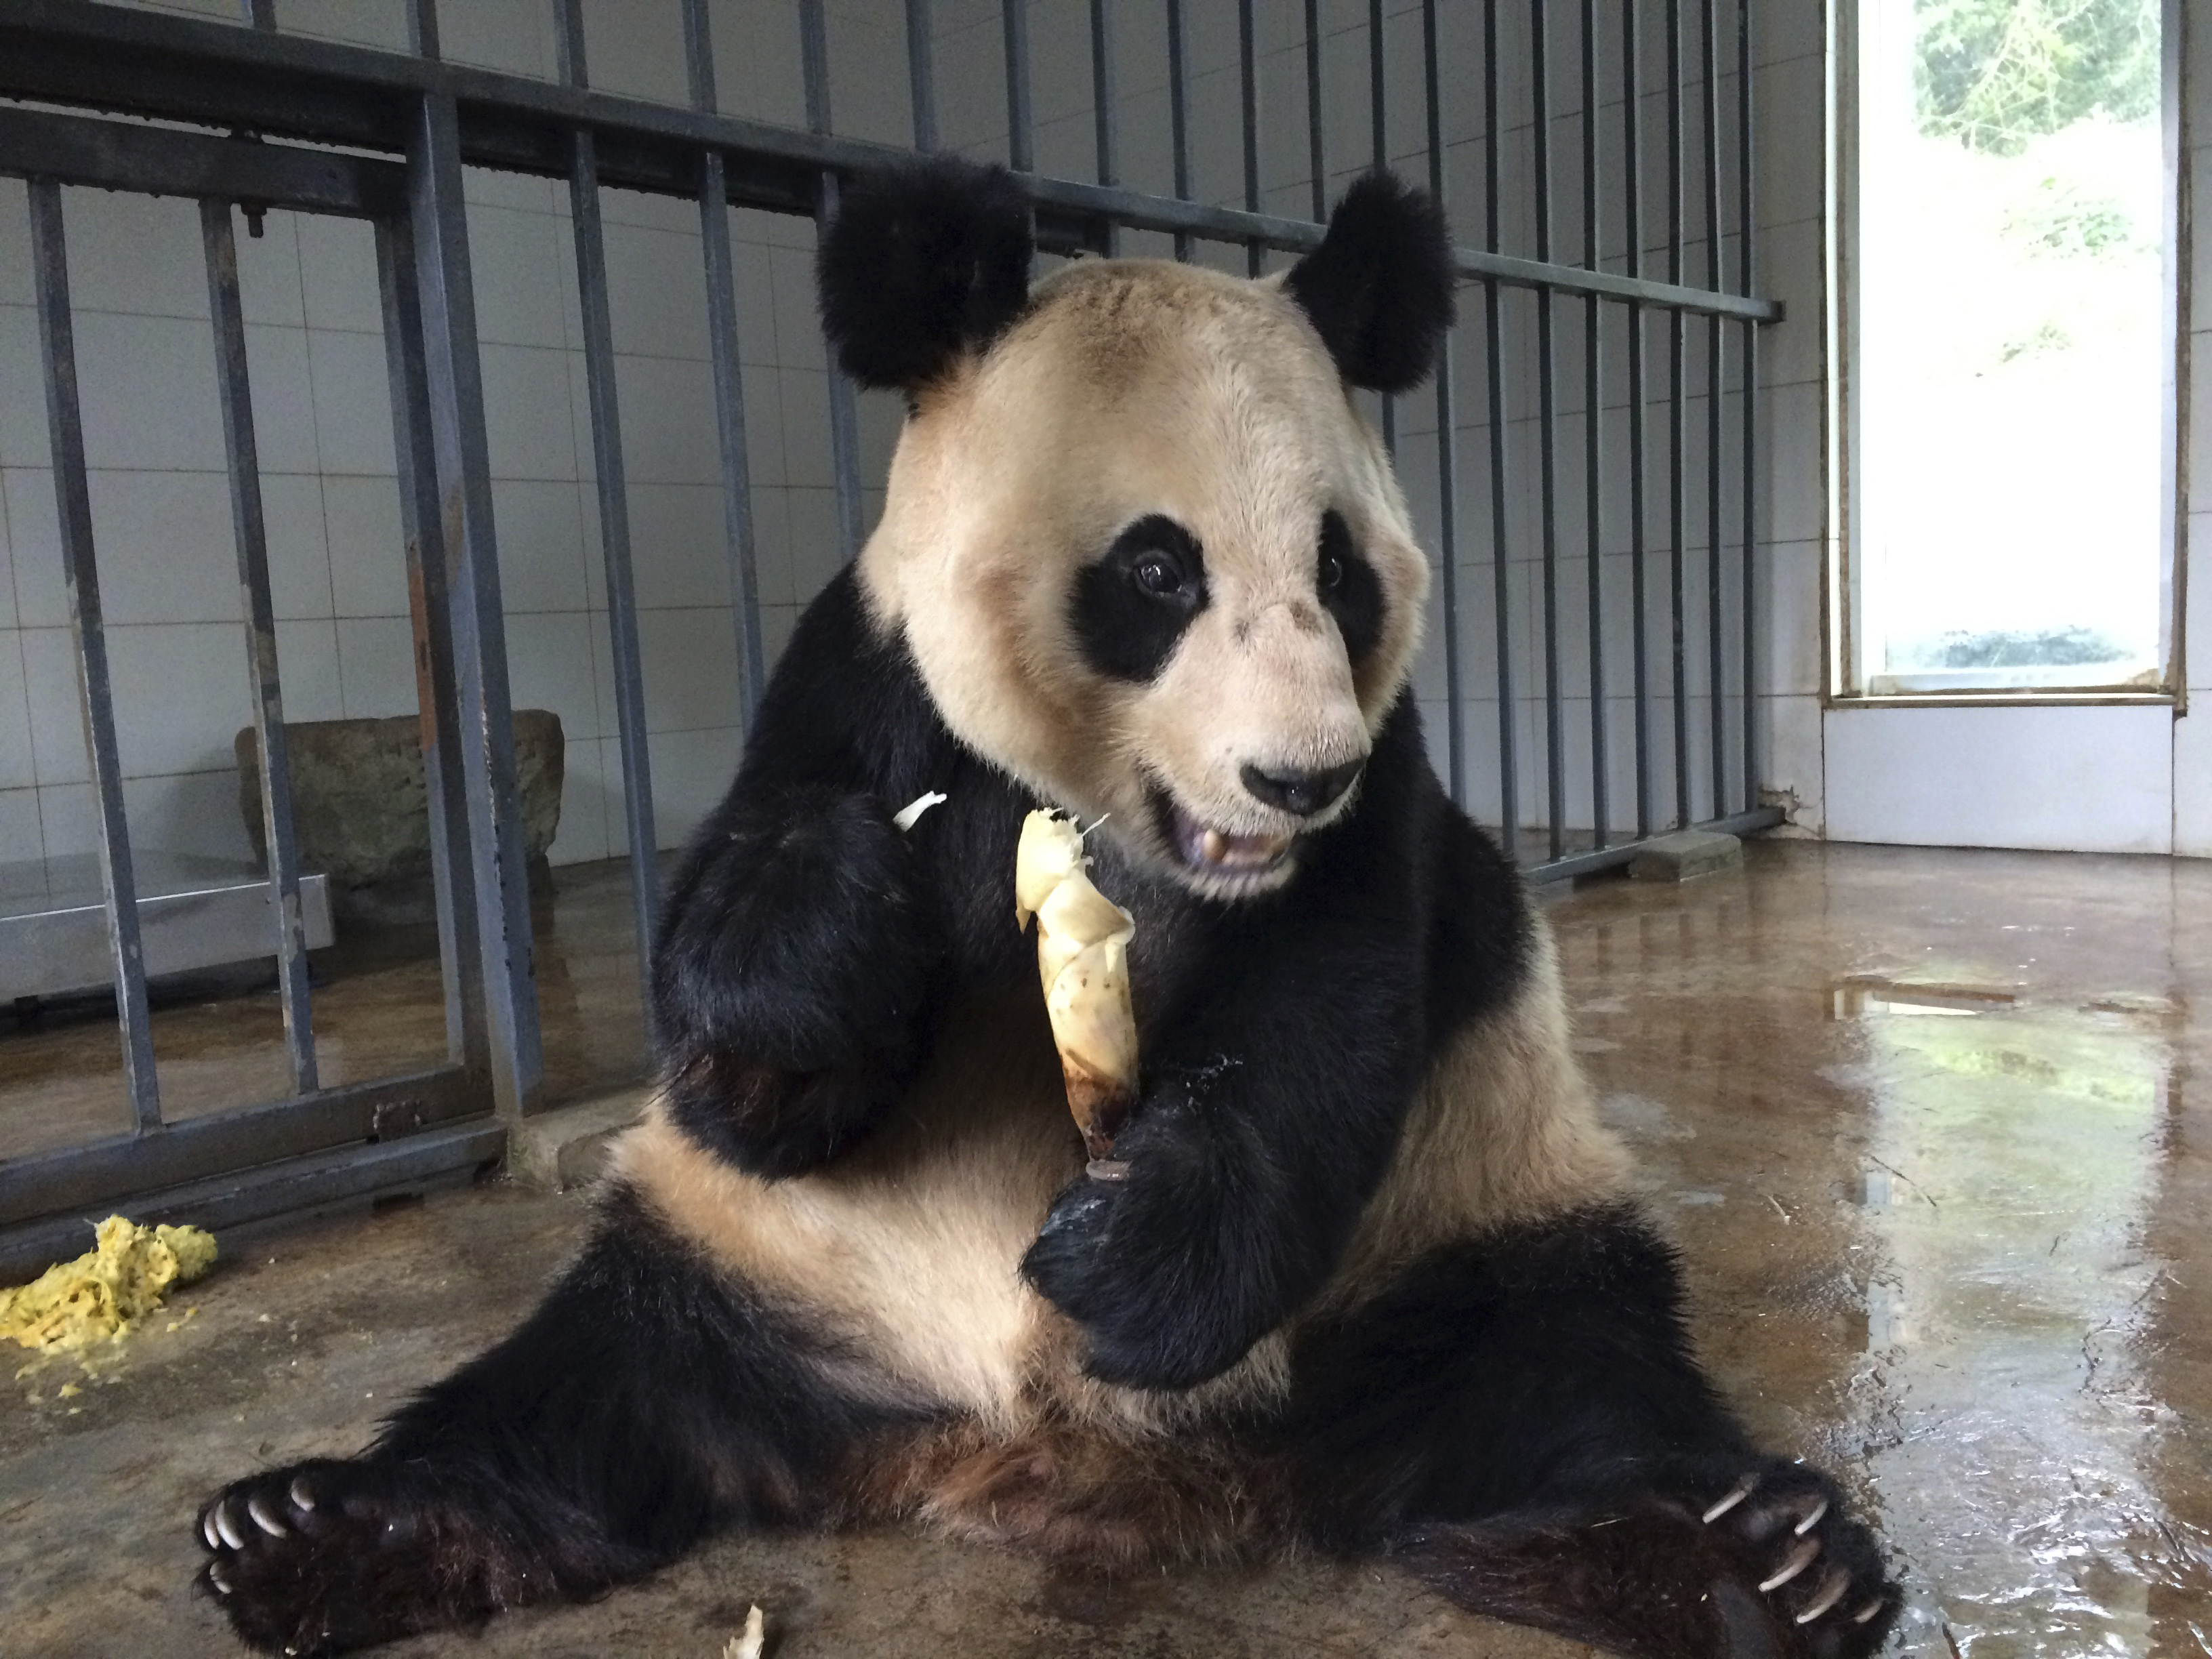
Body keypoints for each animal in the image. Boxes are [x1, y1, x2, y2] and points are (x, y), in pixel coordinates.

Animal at [195, 157, 1898, 1659]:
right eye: (1155, 570)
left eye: (1341, 571)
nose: (1295, 778)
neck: (1135, 837)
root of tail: (1028, 1454)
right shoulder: (861, 692)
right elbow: (757, 1059)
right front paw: (833, 921)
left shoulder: (1390, 802)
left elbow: (1325, 1027)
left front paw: (1121, 1251)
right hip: (750, 1270)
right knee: (587, 1389)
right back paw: (325, 1532)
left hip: (1455, 1219)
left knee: (1554, 1376)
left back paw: (1743, 1558)